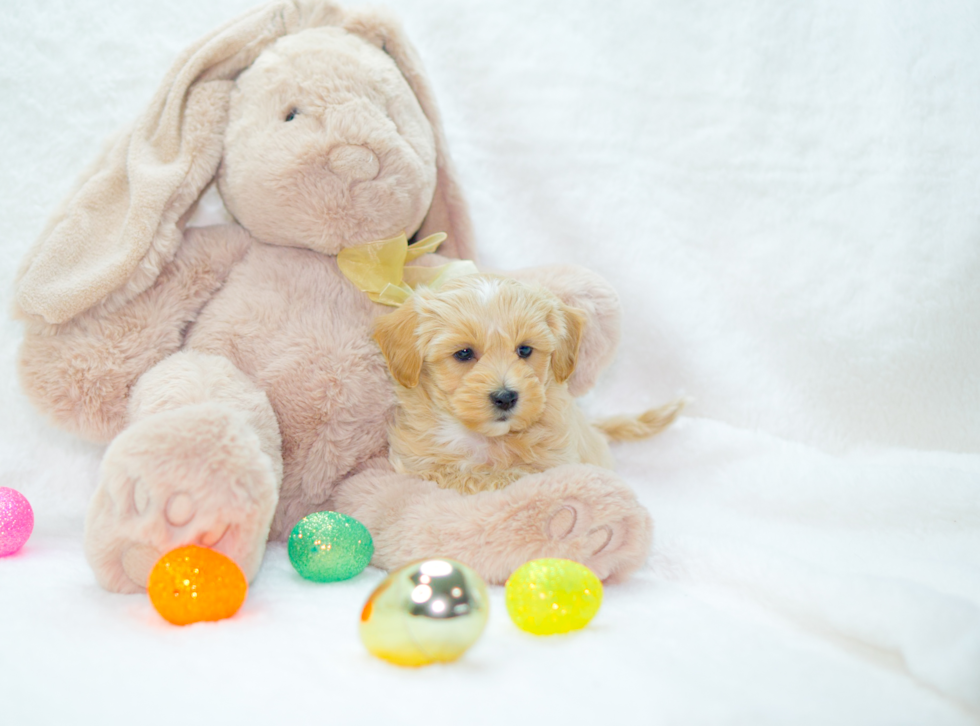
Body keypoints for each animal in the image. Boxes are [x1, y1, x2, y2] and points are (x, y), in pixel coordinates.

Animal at [372, 276, 684, 498]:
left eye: (524, 350)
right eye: (463, 353)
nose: (505, 397)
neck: (488, 438)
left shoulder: (560, 460)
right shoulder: (416, 461)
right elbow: (466, 476)